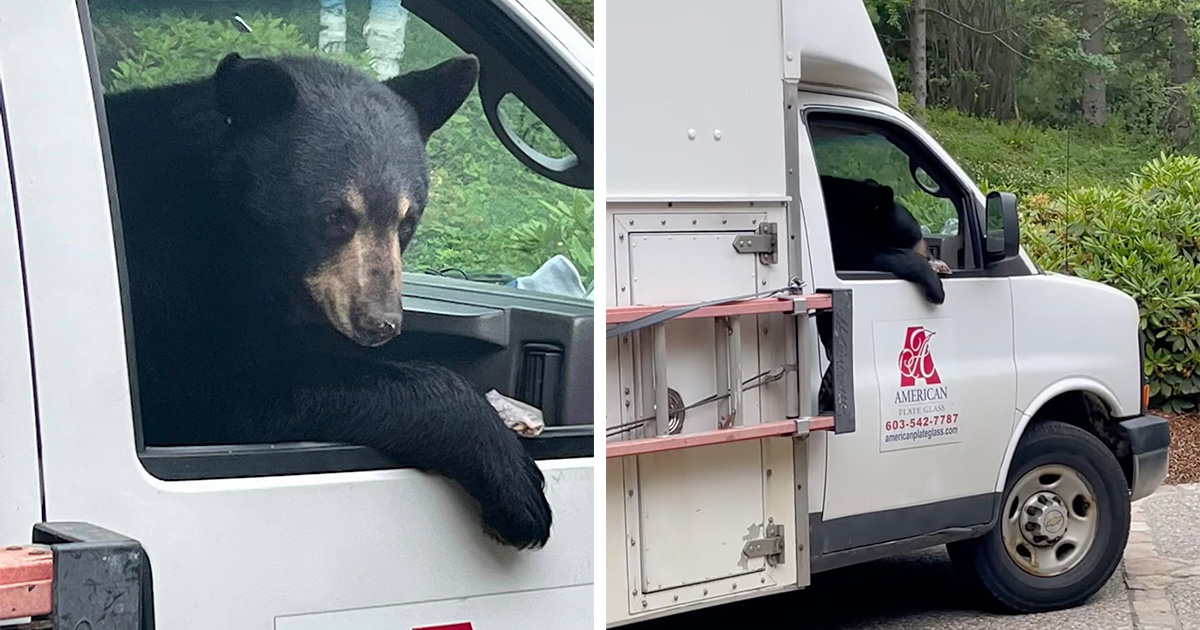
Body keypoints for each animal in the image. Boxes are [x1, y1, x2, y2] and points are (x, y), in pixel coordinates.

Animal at [102, 52, 552, 550]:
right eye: (335, 215)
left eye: (407, 220)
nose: (380, 323)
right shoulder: (165, 276)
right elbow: (232, 386)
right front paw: (519, 485)